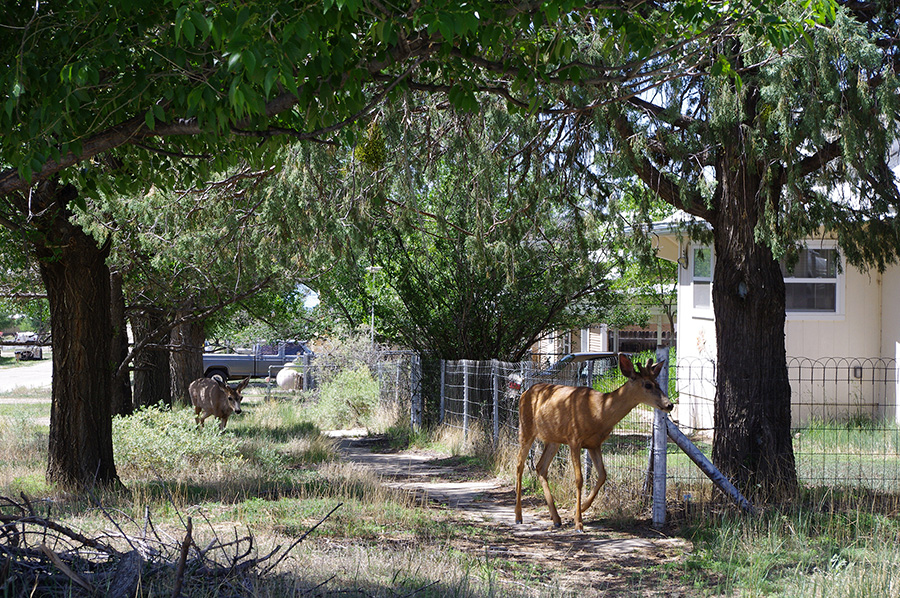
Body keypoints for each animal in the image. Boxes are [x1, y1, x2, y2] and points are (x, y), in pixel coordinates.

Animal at [516, 354, 672, 532]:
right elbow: (579, 479)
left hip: (553, 438)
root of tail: (525, 392)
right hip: (526, 428)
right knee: (519, 465)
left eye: (658, 383)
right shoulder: (574, 439)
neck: (599, 412)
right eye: (647, 384)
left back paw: (556, 519)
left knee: (541, 467)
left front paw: (581, 508)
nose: (670, 405)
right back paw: (518, 516)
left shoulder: (594, 444)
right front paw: (578, 522)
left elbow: (603, 475)